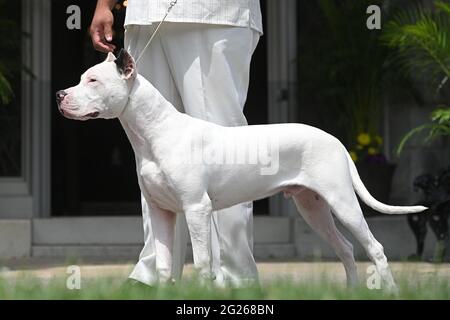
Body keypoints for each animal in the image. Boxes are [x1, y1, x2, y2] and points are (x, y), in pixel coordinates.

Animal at [56, 49, 426, 290]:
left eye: (93, 80)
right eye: (81, 78)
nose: (60, 94)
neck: (155, 132)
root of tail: (334, 139)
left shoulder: (196, 209)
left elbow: (203, 262)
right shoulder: (161, 211)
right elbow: (162, 265)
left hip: (342, 202)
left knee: (374, 248)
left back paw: (390, 291)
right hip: (312, 207)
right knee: (346, 248)